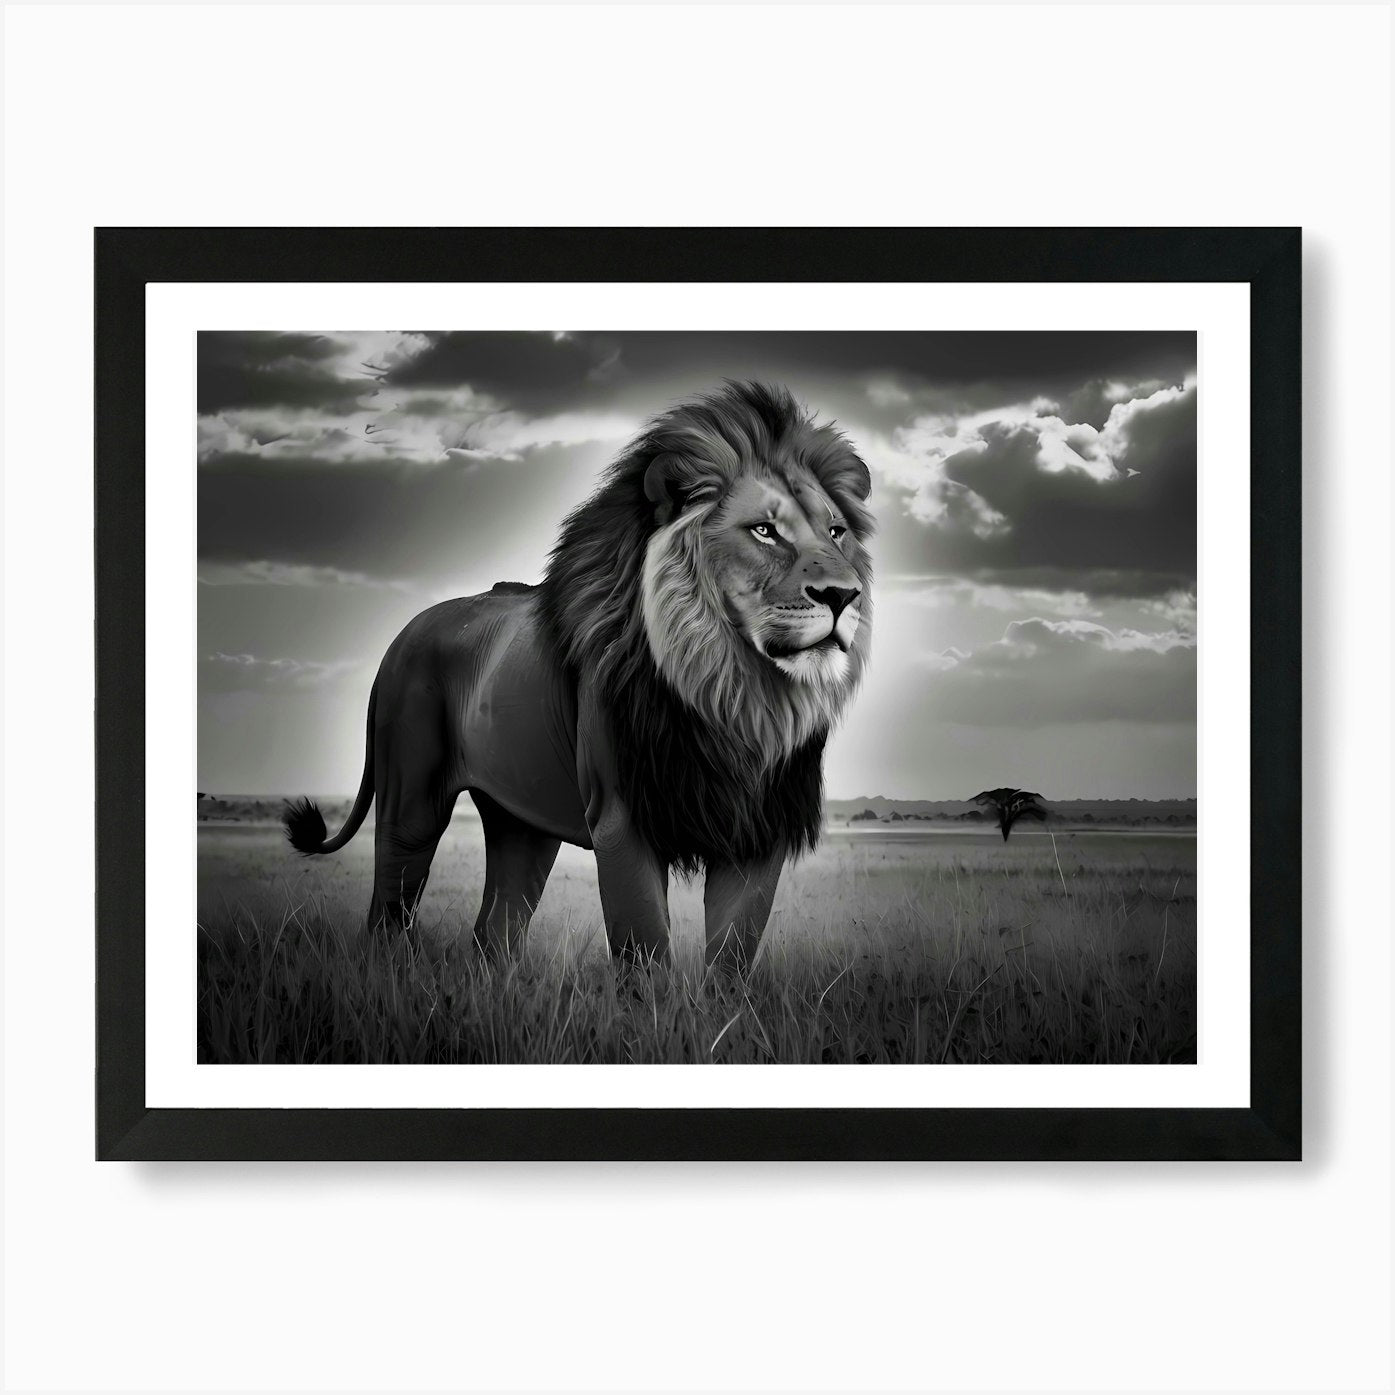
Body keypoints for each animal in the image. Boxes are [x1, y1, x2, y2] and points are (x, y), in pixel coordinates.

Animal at [283, 380, 873, 969]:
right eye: (764, 531)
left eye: (836, 531)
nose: (843, 596)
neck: (734, 692)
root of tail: (402, 635)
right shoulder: (622, 819)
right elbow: (644, 946)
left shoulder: (758, 832)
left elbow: (731, 953)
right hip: (411, 798)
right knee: (389, 906)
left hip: (521, 818)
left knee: (496, 927)